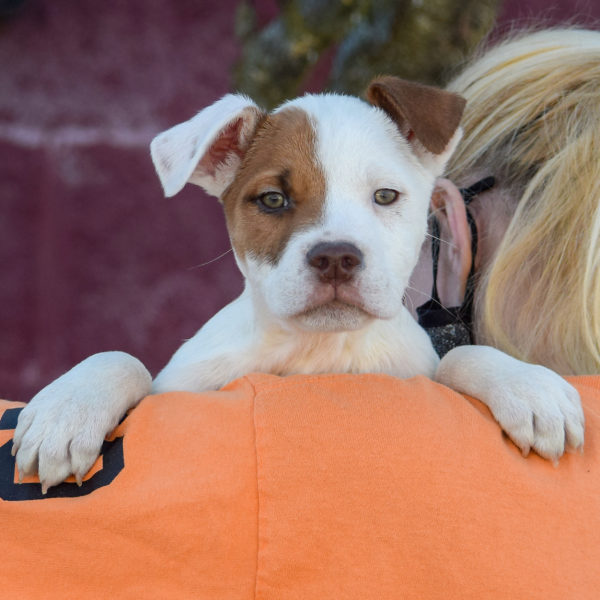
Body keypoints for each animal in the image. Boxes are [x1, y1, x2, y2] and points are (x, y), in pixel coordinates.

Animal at [10, 78, 584, 492]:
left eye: (385, 196)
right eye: (272, 200)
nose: (335, 258)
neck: (316, 353)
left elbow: (461, 355)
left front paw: (528, 387)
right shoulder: (176, 386)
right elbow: (122, 357)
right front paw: (66, 412)